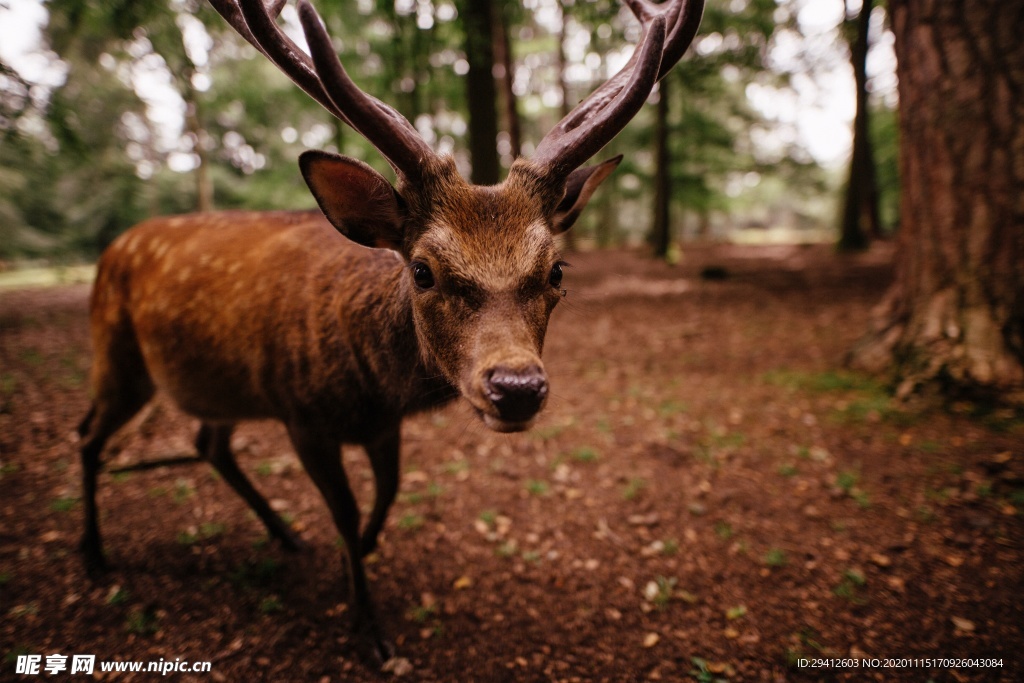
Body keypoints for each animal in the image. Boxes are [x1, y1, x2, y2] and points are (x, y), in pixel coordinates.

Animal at [77, 0, 704, 663]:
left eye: (557, 269)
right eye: (422, 270)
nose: (516, 387)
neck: (368, 387)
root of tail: (112, 248)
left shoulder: (382, 426)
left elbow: (389, 493)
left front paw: (362, 557)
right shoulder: (301, 416)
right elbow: (348, 513)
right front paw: (368, 625)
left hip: (214, 384)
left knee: (208, 443)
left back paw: (286, 536)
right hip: (116, 355)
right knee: (90, 433)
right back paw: (93, 553)